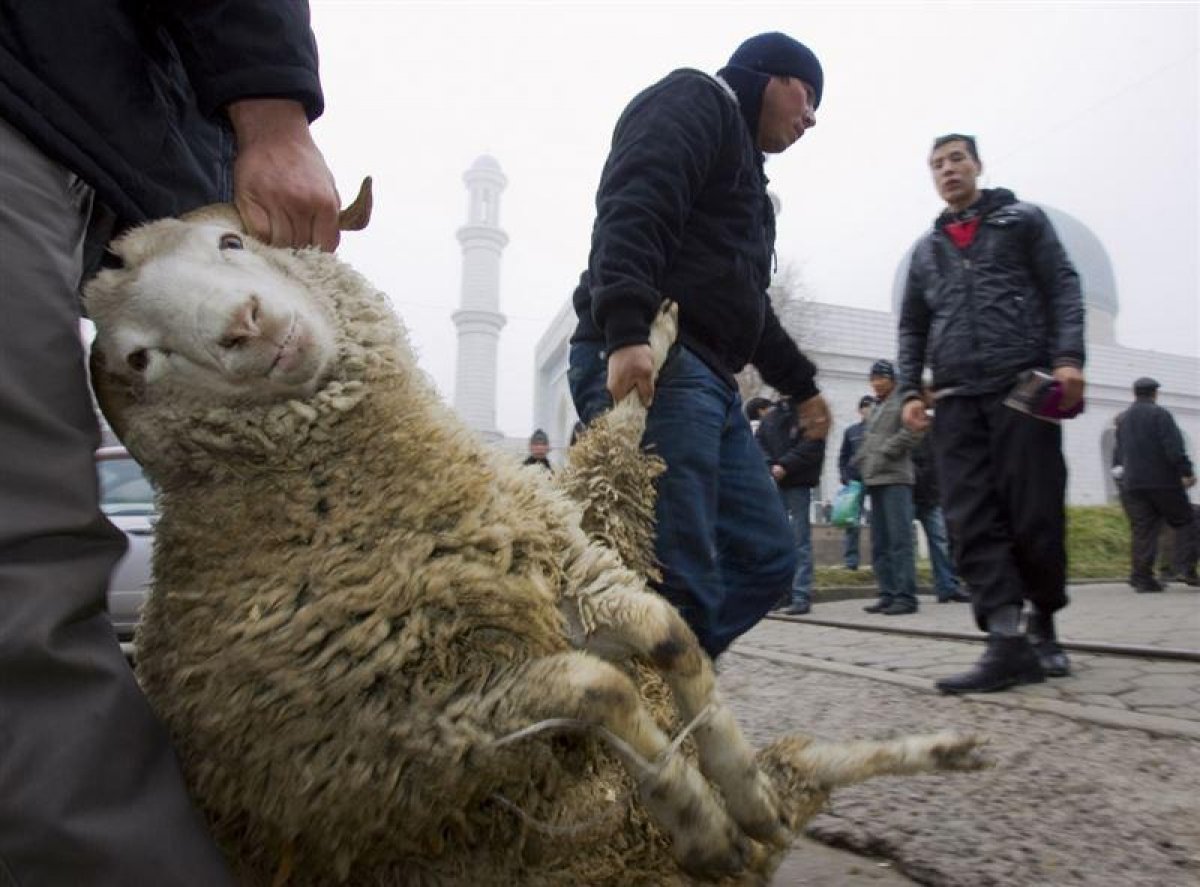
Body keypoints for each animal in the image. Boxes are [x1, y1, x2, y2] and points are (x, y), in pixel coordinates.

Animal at [82, 182, 984, 887]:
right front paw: (701, 817)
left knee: (800, 760)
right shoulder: (415, 730)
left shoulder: (572, 565)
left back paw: (934, 754)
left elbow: (667, 633)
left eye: (232, 240)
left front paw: (737, 791)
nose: (248, 325)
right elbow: (600, 687)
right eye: (138, 359)